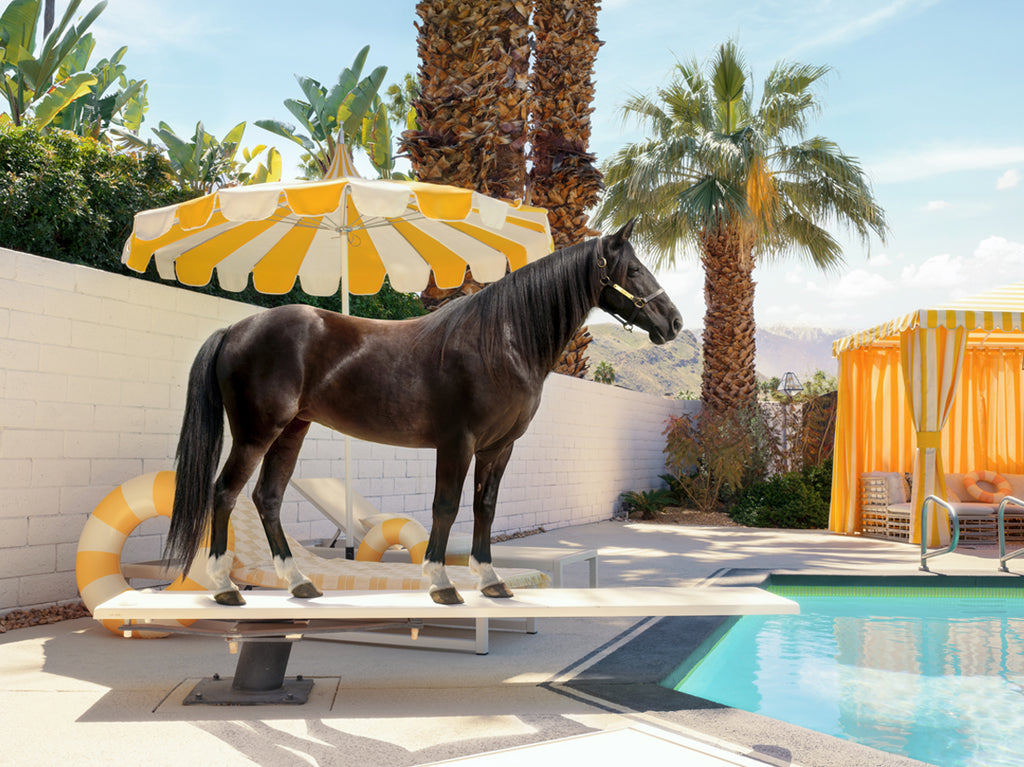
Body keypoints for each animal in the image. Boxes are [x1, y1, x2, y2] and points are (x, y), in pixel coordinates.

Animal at [165, 220, 682, 606]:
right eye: (633, 269)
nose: (674, 322)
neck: (501, 342)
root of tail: (236, 328)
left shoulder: (498, 448)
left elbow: (484, 507)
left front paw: (491, 580)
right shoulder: (458, 443)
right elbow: (445, 507)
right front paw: (441, 583)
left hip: (292, 430)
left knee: (267, 498)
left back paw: (300, 584)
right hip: (256, 433)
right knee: (225, 493)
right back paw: (225, 588)